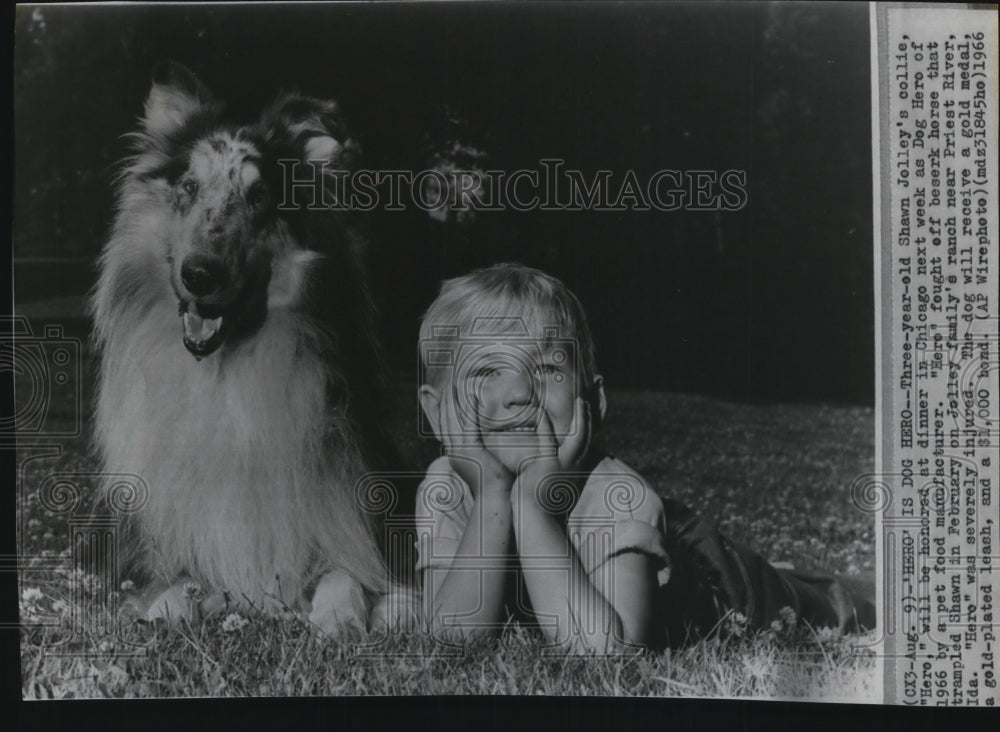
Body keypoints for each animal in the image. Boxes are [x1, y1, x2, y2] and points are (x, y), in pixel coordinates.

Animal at [89, 63, 394, 636]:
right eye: (188, 187)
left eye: (259, 196)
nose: (200, 275)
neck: (222, 373)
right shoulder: (153, 546)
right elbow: (172, 586)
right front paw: (164, 614)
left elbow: (347, 573)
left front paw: (338, 618)